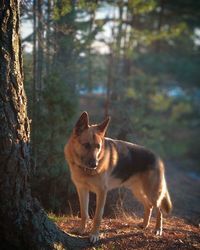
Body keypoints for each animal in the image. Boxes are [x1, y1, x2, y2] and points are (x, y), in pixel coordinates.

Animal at [64, 112, 172, 243]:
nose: (95, 165)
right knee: (149, 206)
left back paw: (158, 229)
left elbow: (97, 217)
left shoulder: (102, 192)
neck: (84, 169)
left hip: (152, 193)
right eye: (86, 145)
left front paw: (94, 235)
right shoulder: (82, 189)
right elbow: (84, 213)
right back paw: (144, 225)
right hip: (137, 191)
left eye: (98, 146)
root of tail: (158, 157)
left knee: (159, 210)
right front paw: (81, 230)